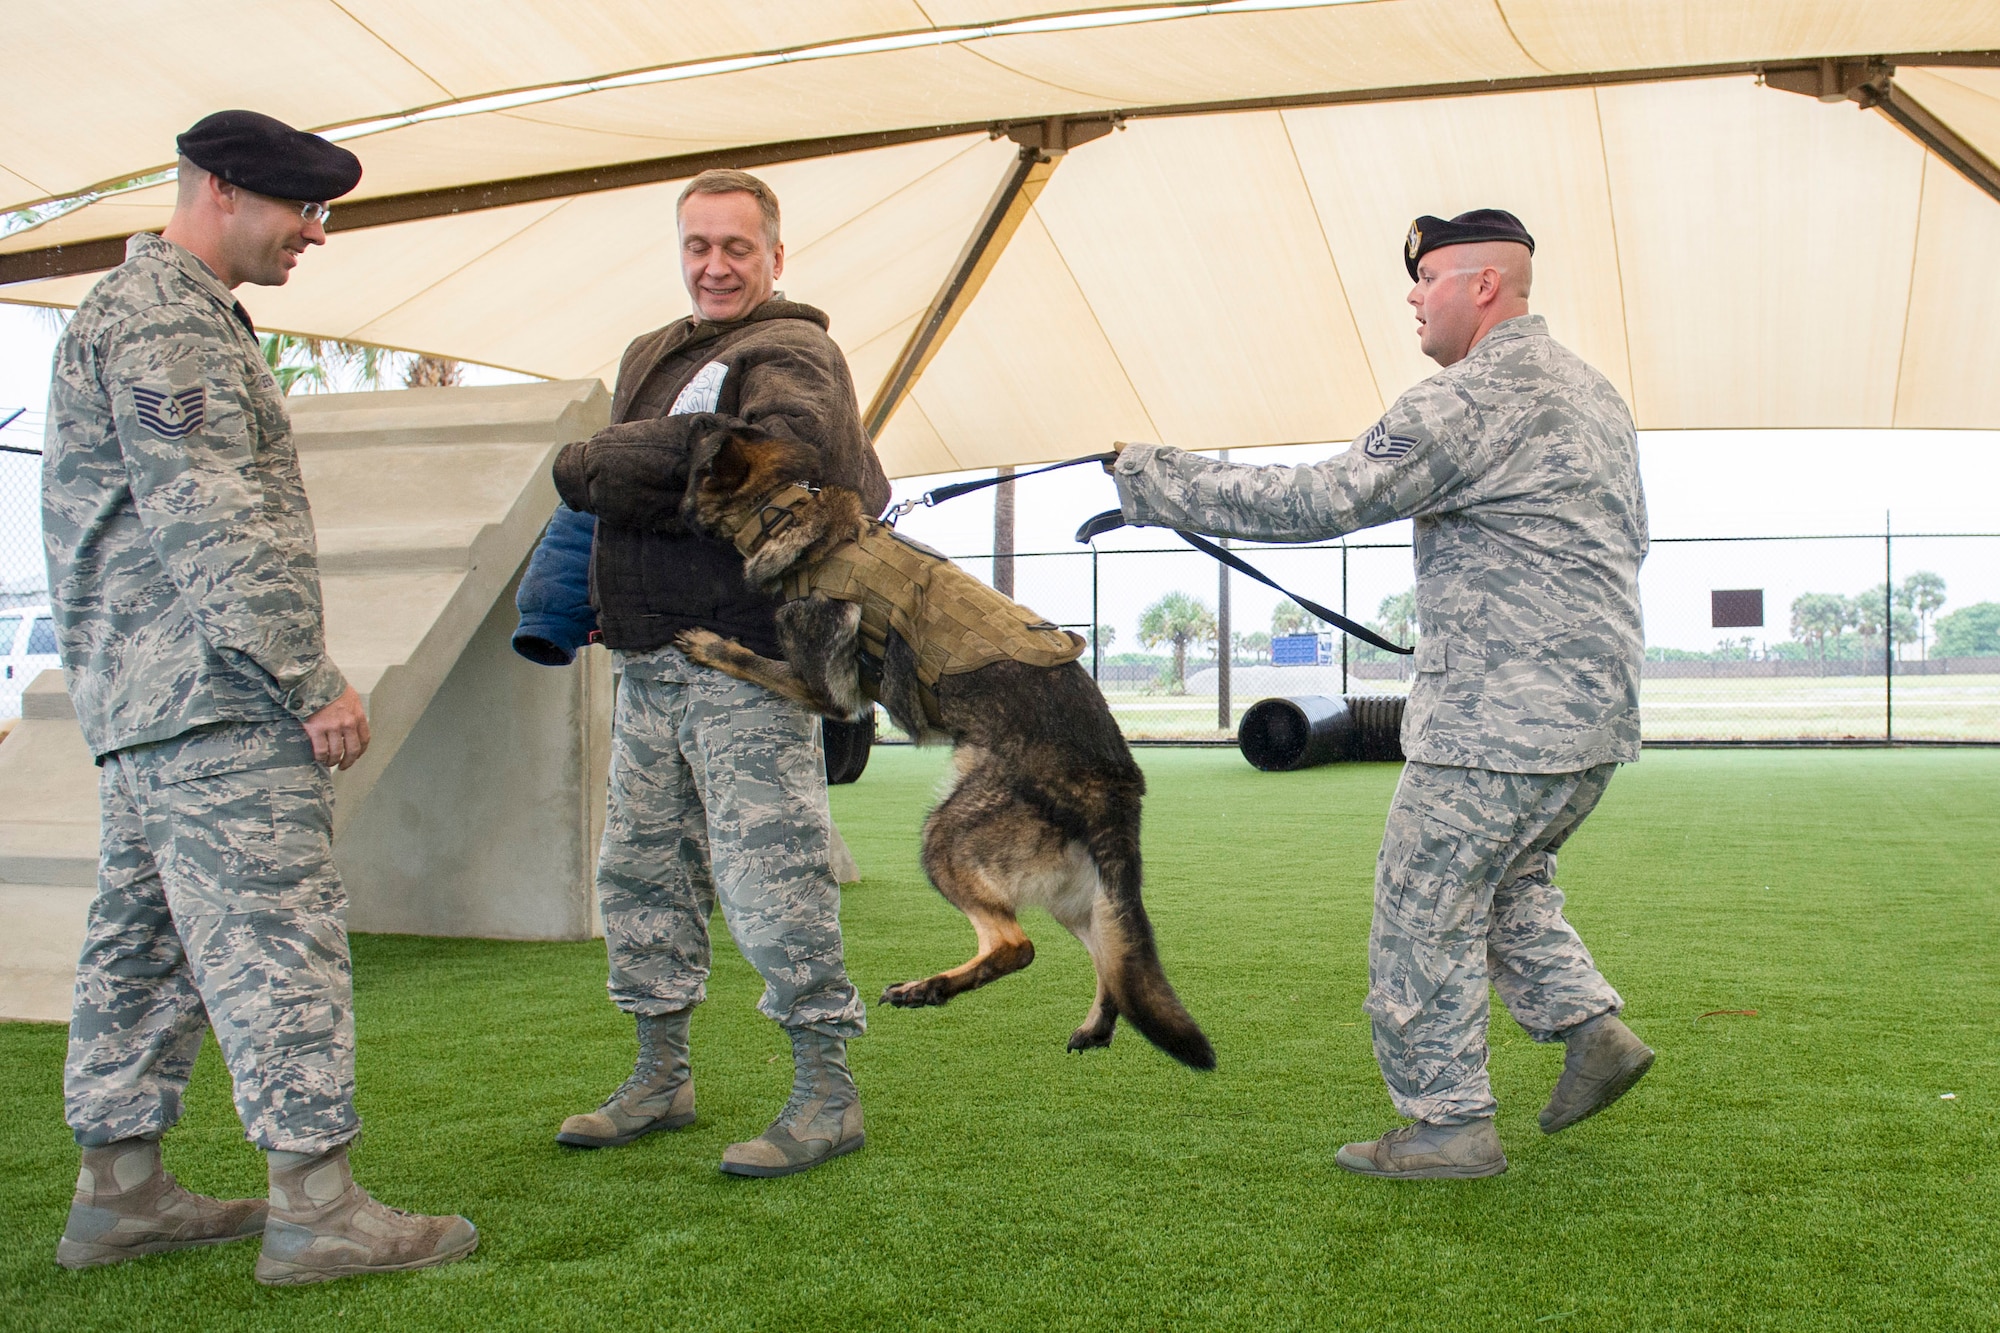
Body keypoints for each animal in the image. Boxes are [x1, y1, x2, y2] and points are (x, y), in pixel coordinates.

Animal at [680, 428, 1216, 1072]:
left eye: (691, 466)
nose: (670, 507)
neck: (788, 511)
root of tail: (1117, 784)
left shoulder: (827, 694)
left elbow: (756, 663)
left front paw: (711, 644)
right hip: (1073, 895)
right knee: (1108, 954)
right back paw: (1090, 1024)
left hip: (947, 837)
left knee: (1017, 946)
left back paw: (929, 987)